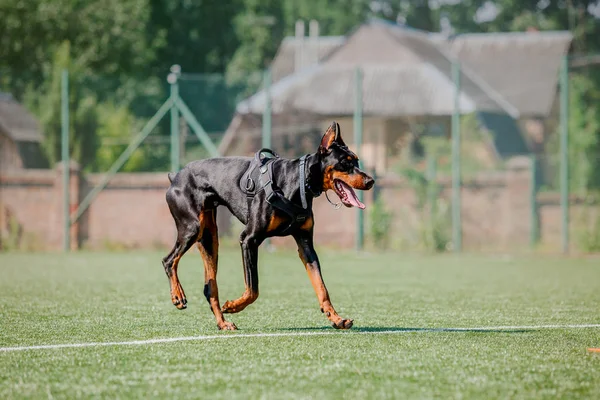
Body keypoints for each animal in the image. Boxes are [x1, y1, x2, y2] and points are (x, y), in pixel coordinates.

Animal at [162, 122, 372, 332]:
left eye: (357, 161)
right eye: (345, 162)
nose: (370, 181)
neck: (298, 182)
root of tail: (176, 176)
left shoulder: (306, 244)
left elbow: (321, 286)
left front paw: (336, 318)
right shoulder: (248, 239)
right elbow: (253, 288)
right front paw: (233, 306)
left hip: (209, 238)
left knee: (209, 287)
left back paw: (223, 323)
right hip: (192, 227)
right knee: (168, 260)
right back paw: (178, 295)